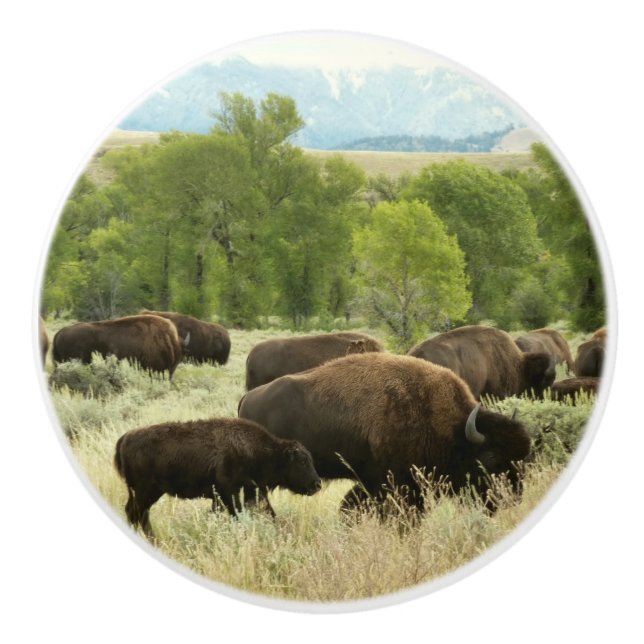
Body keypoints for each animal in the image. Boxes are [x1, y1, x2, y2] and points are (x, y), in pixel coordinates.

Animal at [114, 417, 321, 538]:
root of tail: (126, 438)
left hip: (149, 492)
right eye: (303, 461)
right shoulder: (229, 492)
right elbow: (237, 513)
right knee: (136, 513)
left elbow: (268, 512)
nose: (317, 484)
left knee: (138, 514)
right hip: (145, 491)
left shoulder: (244, 491)